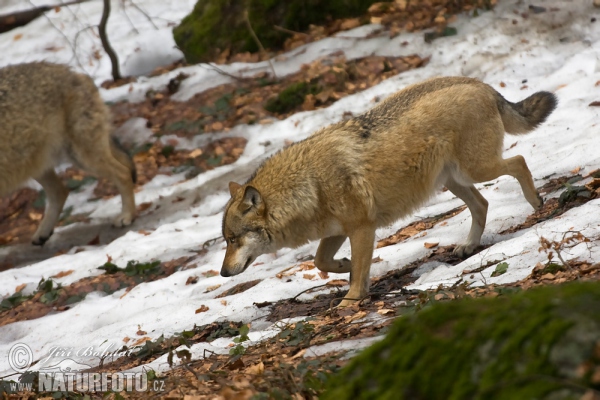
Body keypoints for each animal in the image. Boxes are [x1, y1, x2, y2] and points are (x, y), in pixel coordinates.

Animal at [0, 62, 136, 244]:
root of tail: (74, 73)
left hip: (82, 157)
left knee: (123, 172)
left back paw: (127, 216)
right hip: (40, 165)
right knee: (61, 191)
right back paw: (43, 233)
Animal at [220, 76, 556, 306]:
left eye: (233, 240)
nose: (222, 273)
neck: (308, 184)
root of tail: (480, 83)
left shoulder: (362, 228)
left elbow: (357, 272)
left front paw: (350, 301)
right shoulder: (338, 230)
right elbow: (320, 261)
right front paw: (343, 266)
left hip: (477, 169)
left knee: (518, 161)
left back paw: (536, 203)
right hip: (453, 181)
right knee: (483, 204)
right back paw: (468, 246)